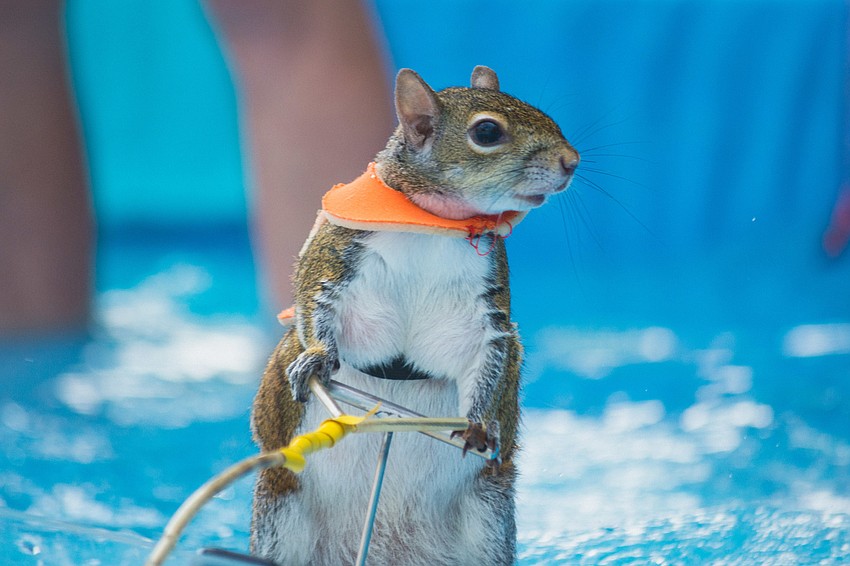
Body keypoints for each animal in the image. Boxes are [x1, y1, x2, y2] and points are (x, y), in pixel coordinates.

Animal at [250, 66, 578, 565]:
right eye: (487, 132)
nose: (572, 161)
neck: (434, 225)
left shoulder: (485, 307)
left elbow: (489, 356)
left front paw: (478, 423)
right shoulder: (335, 255)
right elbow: (313, 299)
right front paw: (319, 358)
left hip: (488, 521)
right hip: (280, 513)